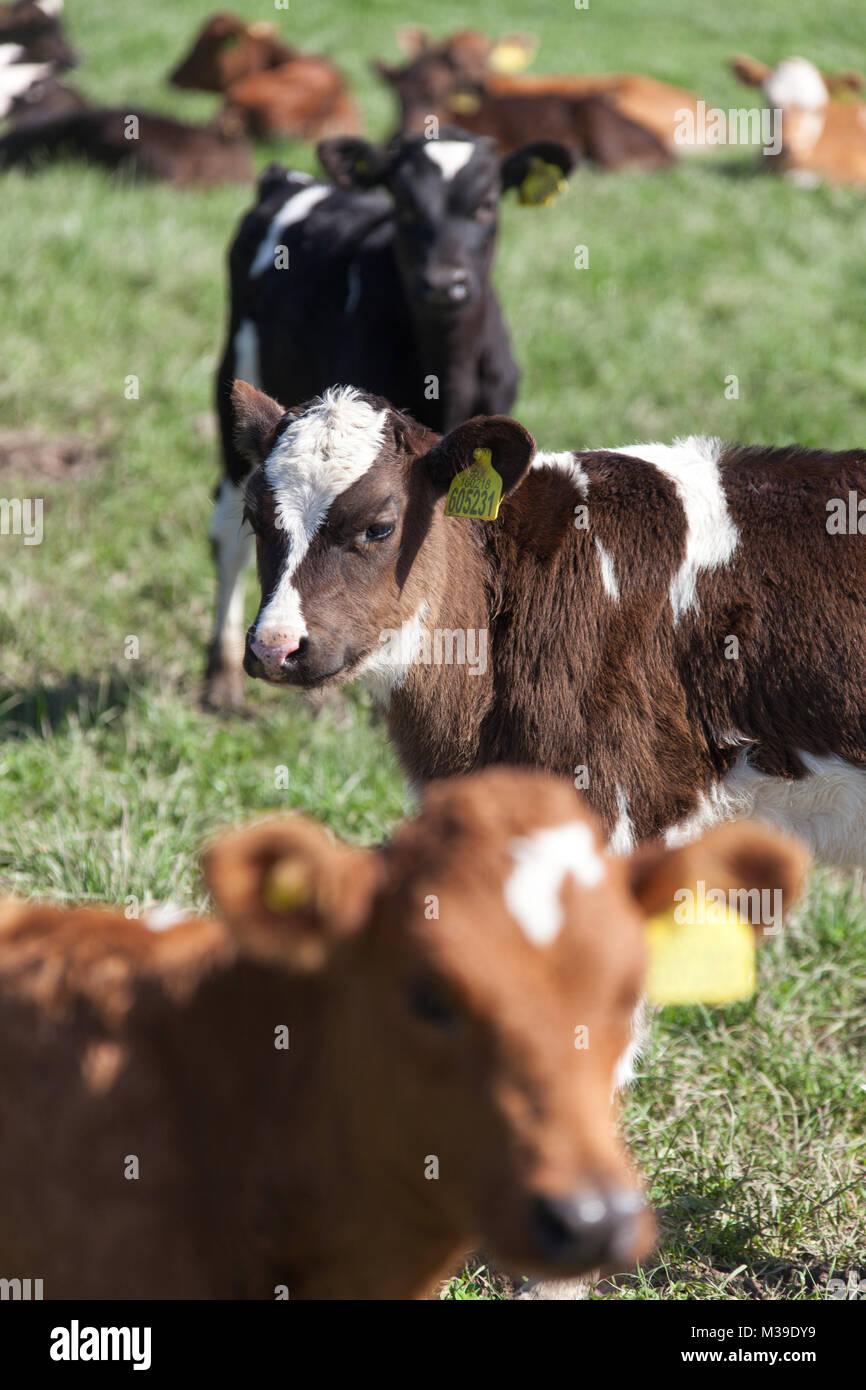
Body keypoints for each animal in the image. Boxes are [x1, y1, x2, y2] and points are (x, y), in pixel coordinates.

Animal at [202, 130, 575, 706]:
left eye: (487, 204)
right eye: (404, 205)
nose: (444, 284)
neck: (446, 372)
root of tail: (291, 179)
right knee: (223, 538)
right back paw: (220, 681)